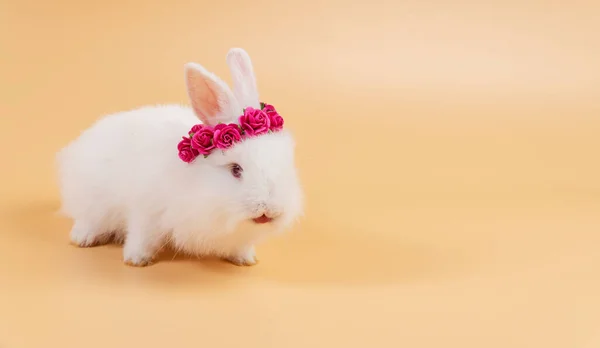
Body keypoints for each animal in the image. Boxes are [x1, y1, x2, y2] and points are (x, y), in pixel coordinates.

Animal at [56, 48, 304, 266]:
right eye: (236, 169)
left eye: (286, 165)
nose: (269, 210)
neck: (197, 182)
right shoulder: (146, 211)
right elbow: (141, 236)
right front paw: (136, 260)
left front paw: (246, 259)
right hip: (93, 201)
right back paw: (82, 238)